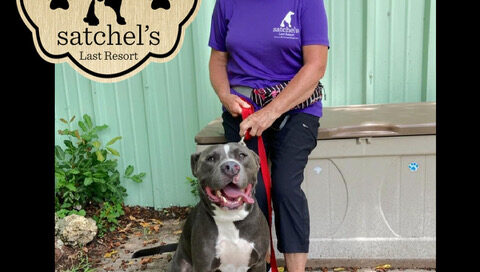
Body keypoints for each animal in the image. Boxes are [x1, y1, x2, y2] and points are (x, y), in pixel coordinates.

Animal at [132, 143, 270, 270]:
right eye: (211, 158)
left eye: (242, 155)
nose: (231, 167)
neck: (231, 218)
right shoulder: (203, 265)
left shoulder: (259, 263)